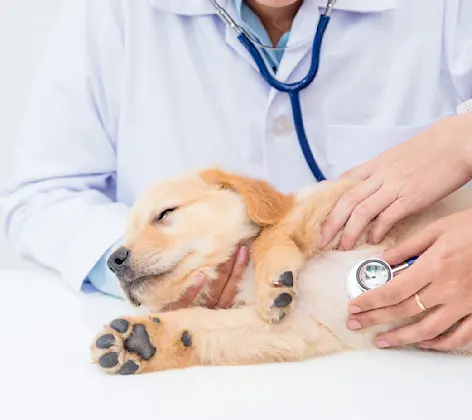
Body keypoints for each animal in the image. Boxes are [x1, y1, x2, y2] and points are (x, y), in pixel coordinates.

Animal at [91, 167, 472, 374]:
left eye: (165, 214)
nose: (113, 260)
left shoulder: (347, 208)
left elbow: (273, 232)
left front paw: (273, 280)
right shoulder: (296, 327)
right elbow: (202, 325)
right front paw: (140, 340)